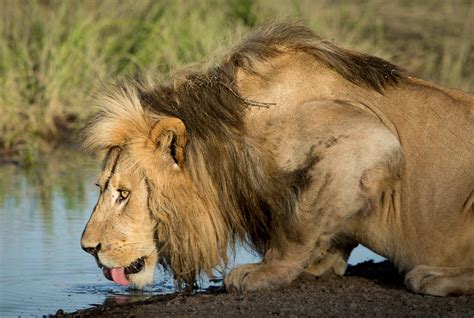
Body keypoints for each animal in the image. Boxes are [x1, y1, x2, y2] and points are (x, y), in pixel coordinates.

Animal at [79, 21, 472, 296]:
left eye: (123, 194)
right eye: (101, 188)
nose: (88, 249)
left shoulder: (368, 139)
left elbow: (298, 222)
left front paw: (265, 272)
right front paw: (320, 262)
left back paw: (432, 276)